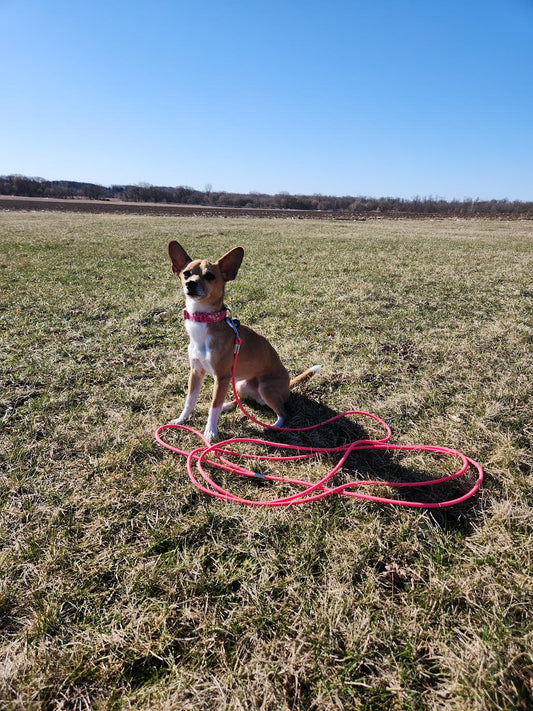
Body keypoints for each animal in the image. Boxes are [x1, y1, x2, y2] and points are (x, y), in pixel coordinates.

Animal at [167, 242, 320, 442]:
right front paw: (182, 419)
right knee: (240, 400)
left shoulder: (222, 377)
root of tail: (288, 385)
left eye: (210, 276)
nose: (190, 284)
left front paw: (210, 432)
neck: (203, 322)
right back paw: (227, 405)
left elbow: (213, 406)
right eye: (186, 273)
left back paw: (273, 426)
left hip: (266, 388)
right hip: (239, 384)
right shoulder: (196, 372)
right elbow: (190, 400)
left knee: (283, 413)